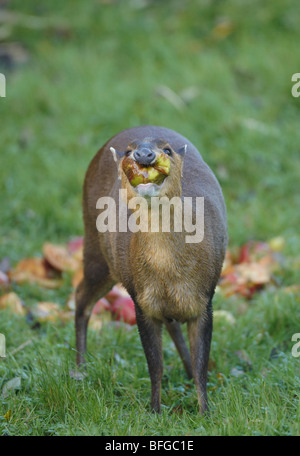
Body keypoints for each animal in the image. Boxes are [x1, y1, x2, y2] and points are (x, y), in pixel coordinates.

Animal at [75, 124, 227, 414]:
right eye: (128, 151)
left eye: (167, 149)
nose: (143, 154)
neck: (169, 272)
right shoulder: (141, 301)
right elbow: (154, 365)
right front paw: (155, 411)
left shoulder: (206, 298)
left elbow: (201, 365)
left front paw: (205, 412)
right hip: (96, 247)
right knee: (80, 297)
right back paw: (80, 370)